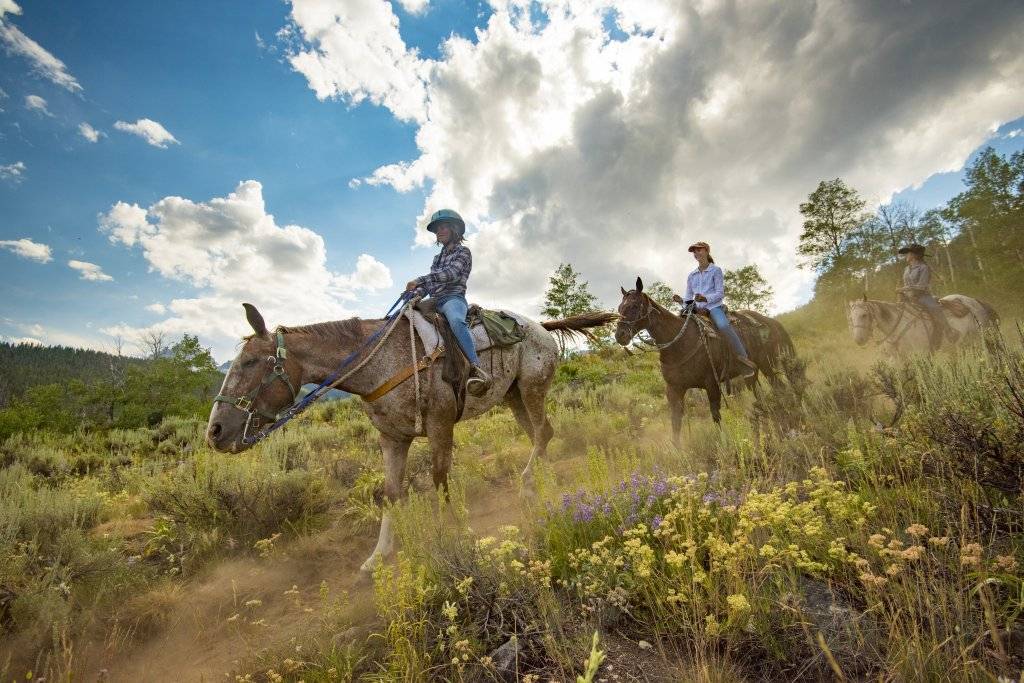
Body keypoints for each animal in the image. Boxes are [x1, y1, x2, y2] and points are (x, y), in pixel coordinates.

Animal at [203, 303, 610, 573]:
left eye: (250, 363)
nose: (215, 432)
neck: (381, 362)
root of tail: (539, 327)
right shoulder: (392, 438)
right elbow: (391, 493)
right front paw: (377, 556)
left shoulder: (441, 426)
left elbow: (440, 480)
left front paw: (452, 533)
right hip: (513, 396)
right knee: (541, 434)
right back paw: (541, 480)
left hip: (531, 388)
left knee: (542, 432)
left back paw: (528, 485)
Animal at [610, 276, 794, 444]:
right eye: (620, 307)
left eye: (634, 306)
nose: (620, 335)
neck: (680, 343)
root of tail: (769, 321)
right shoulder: (674, 389)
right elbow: (676, 422)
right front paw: (678, 452)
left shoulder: (712, 384)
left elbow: (716, 416)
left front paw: (723, 444)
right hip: (754, 372)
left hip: (766, 364)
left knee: (778, 386)